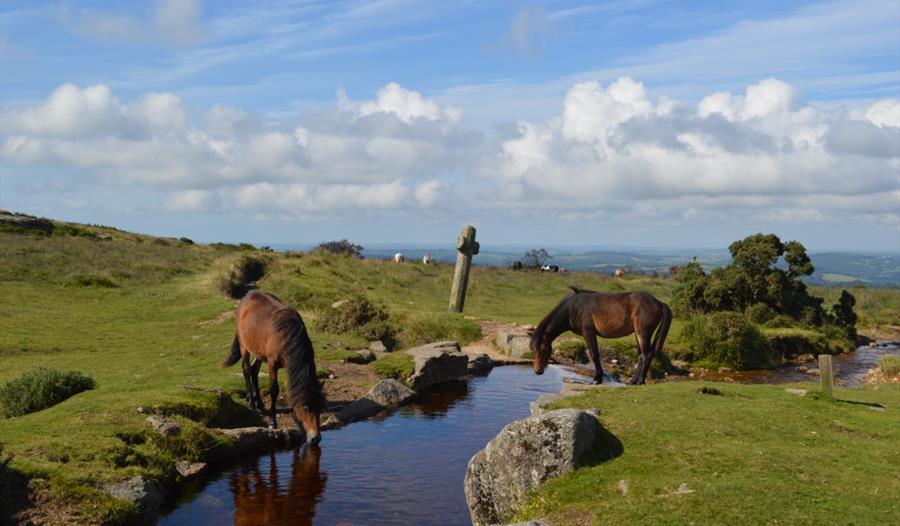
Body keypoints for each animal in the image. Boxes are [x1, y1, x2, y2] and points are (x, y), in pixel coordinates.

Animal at [221, 290, 326, 444]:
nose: (315, 438)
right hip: (244, 346)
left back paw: (259, 404)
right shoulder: (272, 364)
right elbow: (274, 389)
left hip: (258, 352)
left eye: (320, 407)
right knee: (246, 370)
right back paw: (251, 403)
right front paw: (272, 421)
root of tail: (247, 297)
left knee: (254, 371)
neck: (286, 336)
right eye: (306, 408)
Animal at [532, 288, 672, 388]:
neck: (573, 308)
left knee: (647, 355)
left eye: (543, 349)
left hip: (643, 333)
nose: (537, 371)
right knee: (641, 355)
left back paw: (639, 381)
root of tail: (658, 302)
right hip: (638, 334)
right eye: (534, 350)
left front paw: (596, 379)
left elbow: (594, 355)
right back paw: (633, 381)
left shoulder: (588, 332)